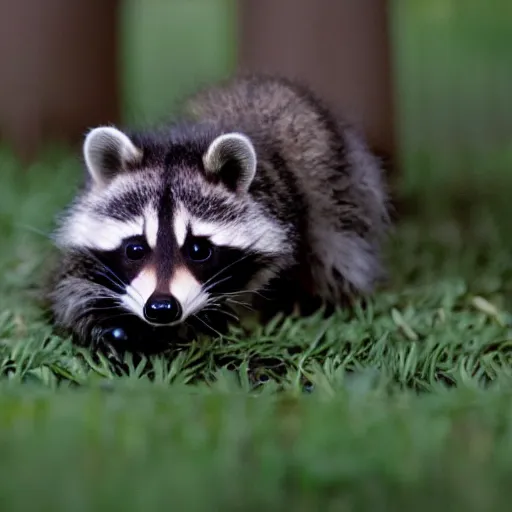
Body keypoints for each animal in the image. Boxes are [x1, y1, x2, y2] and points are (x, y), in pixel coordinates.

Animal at [47, 75, 388, 356]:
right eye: (134, 249)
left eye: (198, 249)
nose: (162, 308)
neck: (180, 144)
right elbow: (70, 287)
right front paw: (101, 321)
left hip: (344, 195)